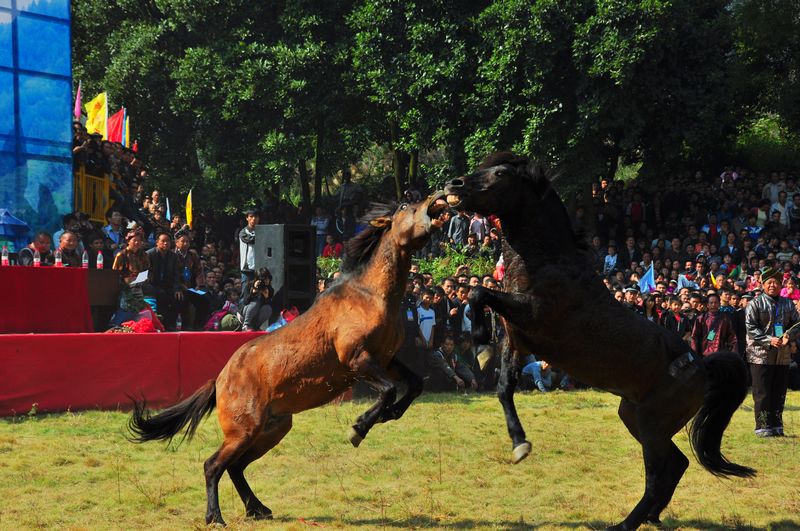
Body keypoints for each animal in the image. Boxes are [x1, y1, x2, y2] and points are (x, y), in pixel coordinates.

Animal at [128, 192, 446, 528]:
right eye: (405, 207)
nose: (440, 196)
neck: (370, 296)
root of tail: (220, 381)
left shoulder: (385, 359)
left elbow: (413, 386)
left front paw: (388, 415)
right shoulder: (357, 359)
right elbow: (388, 391)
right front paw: (359, 428)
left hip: (272, 429)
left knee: (235, 467)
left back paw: (258, 509)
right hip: (244, 431)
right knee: (213, 465)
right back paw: (215, 517)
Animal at [444, 151, 756, 531]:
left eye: (501, 173)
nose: (454, 184)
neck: (547, 261)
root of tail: (701, 366)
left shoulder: (532, 315)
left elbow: (479, 292)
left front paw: (479, 338)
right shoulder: (519, 341)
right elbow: (504, 388)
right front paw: (519, 443)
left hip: (652, 424)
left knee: (658, 474)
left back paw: (626, 523)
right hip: (634, 417)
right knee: (676, 464)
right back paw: (651, 517)